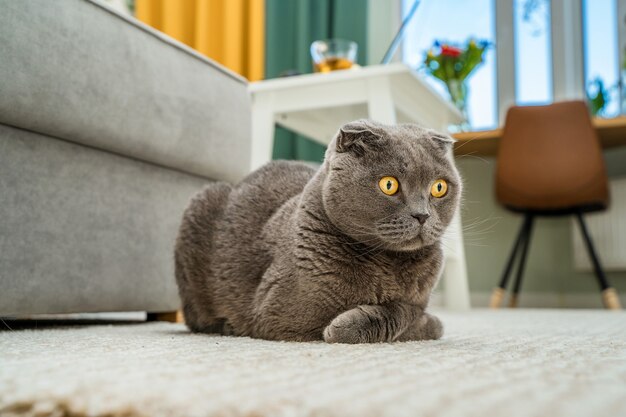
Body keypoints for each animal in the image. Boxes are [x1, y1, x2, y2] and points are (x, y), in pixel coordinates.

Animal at [174, 118, 458, 342]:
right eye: (389, 184)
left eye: (439, 187)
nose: (422, 215)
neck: (391, 264)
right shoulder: (284, 314)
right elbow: (405, 312)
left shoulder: (420, 297)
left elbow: (411, 310)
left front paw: (429, 322)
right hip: (200, 203)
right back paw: (227, 326)